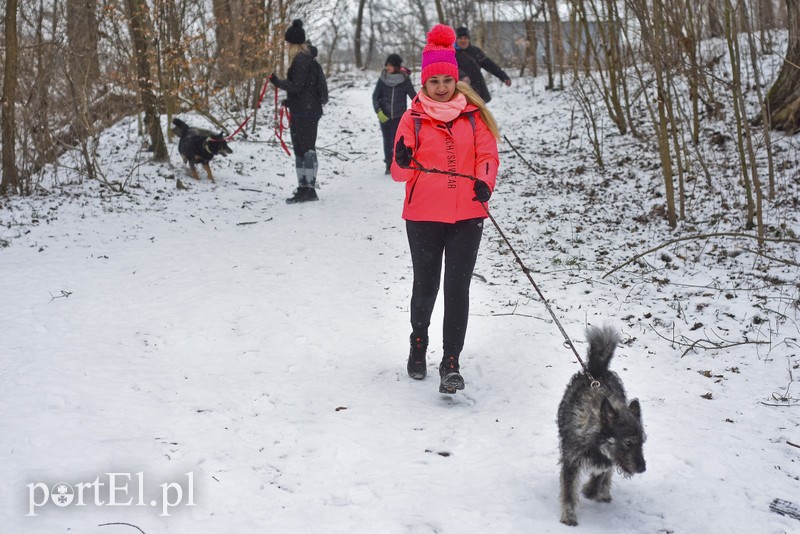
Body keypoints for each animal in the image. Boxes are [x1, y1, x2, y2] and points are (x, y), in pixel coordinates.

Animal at [560, 326, 648, 528]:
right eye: (628, 443)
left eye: (642, 442)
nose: (642, 468)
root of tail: (597, 371)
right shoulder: (571, 461)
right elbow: (569, 492)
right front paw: (569, 515)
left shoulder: (607, 459)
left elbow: (601, 473)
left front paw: (591, 489)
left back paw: (603, 492)